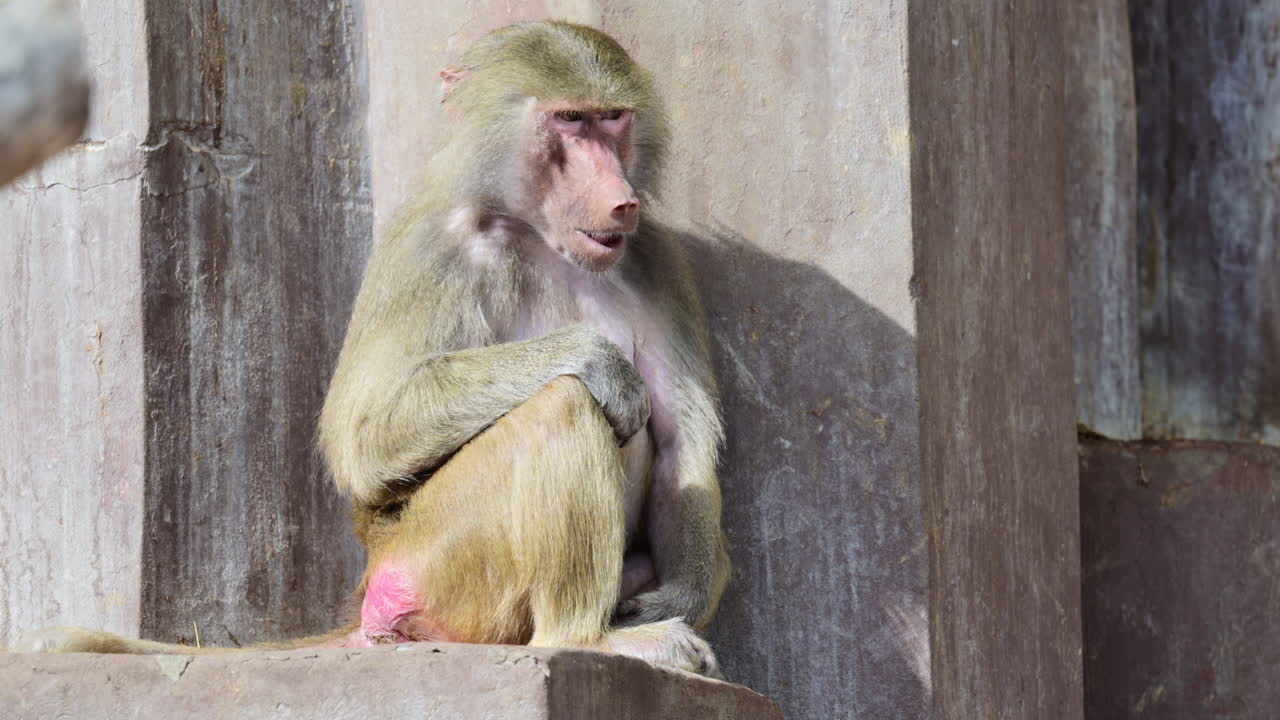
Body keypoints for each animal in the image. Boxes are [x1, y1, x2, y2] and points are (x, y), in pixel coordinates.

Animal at [14, 21, 731, 678]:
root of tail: (371, 586)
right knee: (562, 407)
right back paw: (588, 640)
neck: (535, 233)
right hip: (438, 561)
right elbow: (361, 436)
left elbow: (680, 446)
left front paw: (681, 597)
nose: (621, 199)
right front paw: (597, 360)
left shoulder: (657, 257)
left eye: (612, 120)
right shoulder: (429, 248)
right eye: (569, 121)